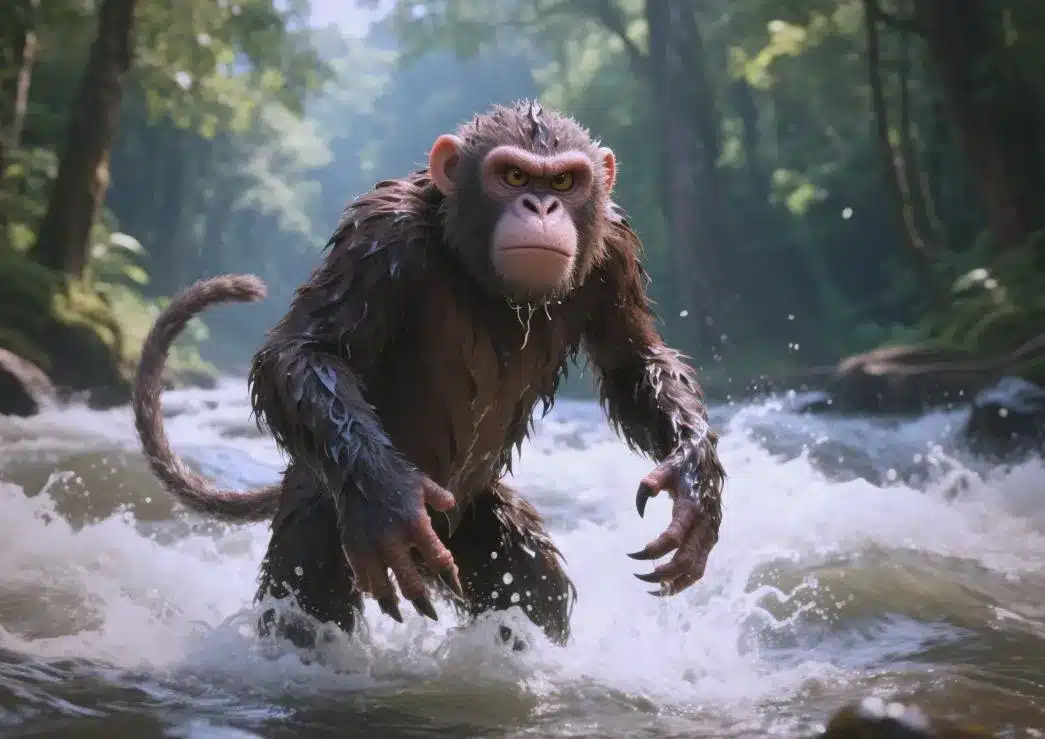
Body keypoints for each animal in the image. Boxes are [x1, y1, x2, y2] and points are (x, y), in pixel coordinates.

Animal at [132, 101, 725, 650]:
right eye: (514, 176)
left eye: (563, 179)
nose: (541, 204)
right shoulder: (381, 234)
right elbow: (303, 351)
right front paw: (389, 494)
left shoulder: (615, 248)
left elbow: (633, 363)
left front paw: (693, 477)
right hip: (322, 505)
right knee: (308, 598)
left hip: (471, 523)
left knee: (531, 583)